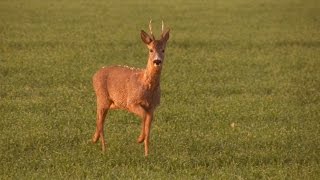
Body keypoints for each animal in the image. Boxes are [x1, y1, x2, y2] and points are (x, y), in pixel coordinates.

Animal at [92, 20, 170, 156]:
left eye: (163, 50)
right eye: (150, 50)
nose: (157, 61)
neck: (147, 86)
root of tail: (94, 75)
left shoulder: (152, 106)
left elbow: (149, 127)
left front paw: (147, 154)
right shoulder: (132, 102)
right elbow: (143, 116)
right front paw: (139, 139)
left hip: (108, 102)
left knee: (99, 119)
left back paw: (94, 139)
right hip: (102, 97)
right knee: (101, 122)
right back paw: (104, 149)